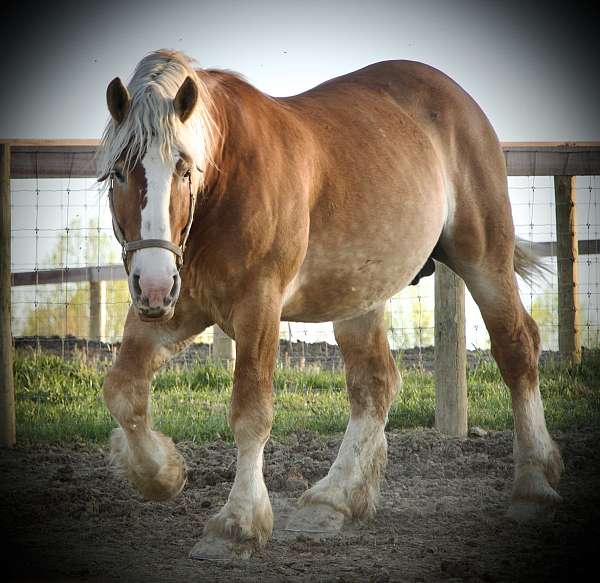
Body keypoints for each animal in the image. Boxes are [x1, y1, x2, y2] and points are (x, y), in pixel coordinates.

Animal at [98, 48, 564, 560]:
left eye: (184, 169)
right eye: (119, 171)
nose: (153, 284)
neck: (224, 180)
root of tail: (457, 98)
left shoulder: (258, 306)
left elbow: (250, 412)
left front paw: (238, 523)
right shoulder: (177, 310)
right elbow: (122, 390)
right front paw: (163, 474)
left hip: (483, 259)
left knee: (517, 350)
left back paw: (533, 488)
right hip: (360, 295)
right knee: (375, 386)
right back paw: (333, 501)